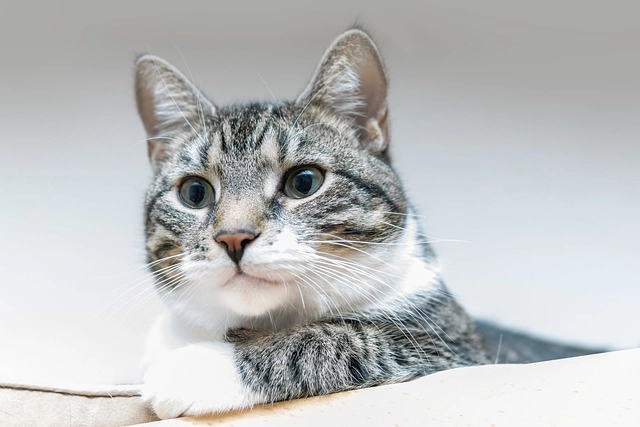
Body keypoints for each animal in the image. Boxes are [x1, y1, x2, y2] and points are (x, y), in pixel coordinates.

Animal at [135, 28, 592, 420]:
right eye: (195, 193)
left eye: (304, 182)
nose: (233, 236)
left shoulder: (455, 348)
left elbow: (341, 337)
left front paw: (197, 368)